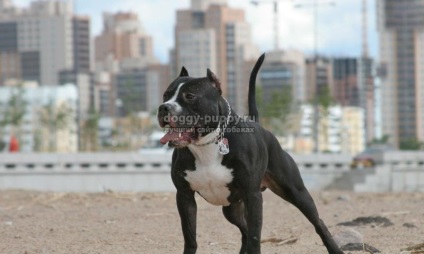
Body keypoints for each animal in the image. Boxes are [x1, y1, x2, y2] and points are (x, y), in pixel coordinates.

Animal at [157, 54, 342, 254]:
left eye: (190, 96)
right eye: (165, 95)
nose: (163, 108)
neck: (207, 145)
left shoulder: (252, 195)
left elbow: (255, 236)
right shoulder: (185, 196)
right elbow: (190, 236)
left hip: (296, 192)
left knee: (318, 222)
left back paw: (335, 248)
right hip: (231, 209)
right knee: (244, 229)